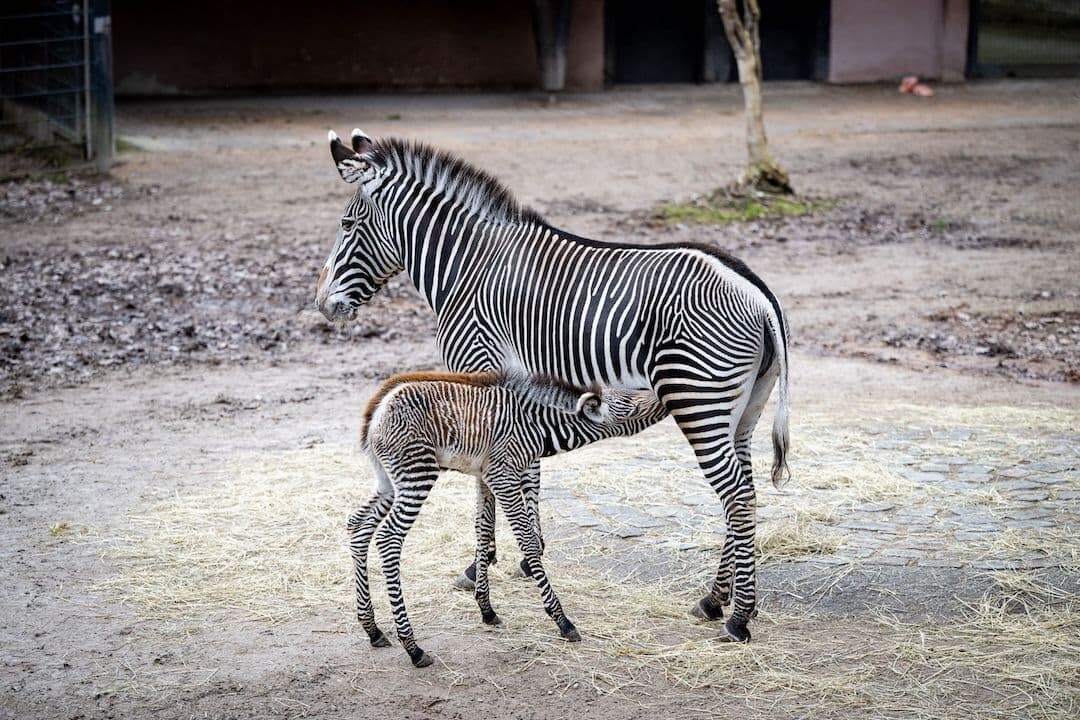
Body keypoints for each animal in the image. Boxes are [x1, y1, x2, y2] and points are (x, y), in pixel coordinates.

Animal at [349, 369, 660, 669]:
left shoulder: (485, 476)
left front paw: (486, 609)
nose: (662, 396)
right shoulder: (503, 476)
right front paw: (562, 621)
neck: (537, 425)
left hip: (388, 481)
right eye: (629, 401)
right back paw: (413, 647)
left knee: (358, 526)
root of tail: (377, 407)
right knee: (388, 539)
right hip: (417, 473)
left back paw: (373, 629)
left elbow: (483, 530)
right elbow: (528, 541)